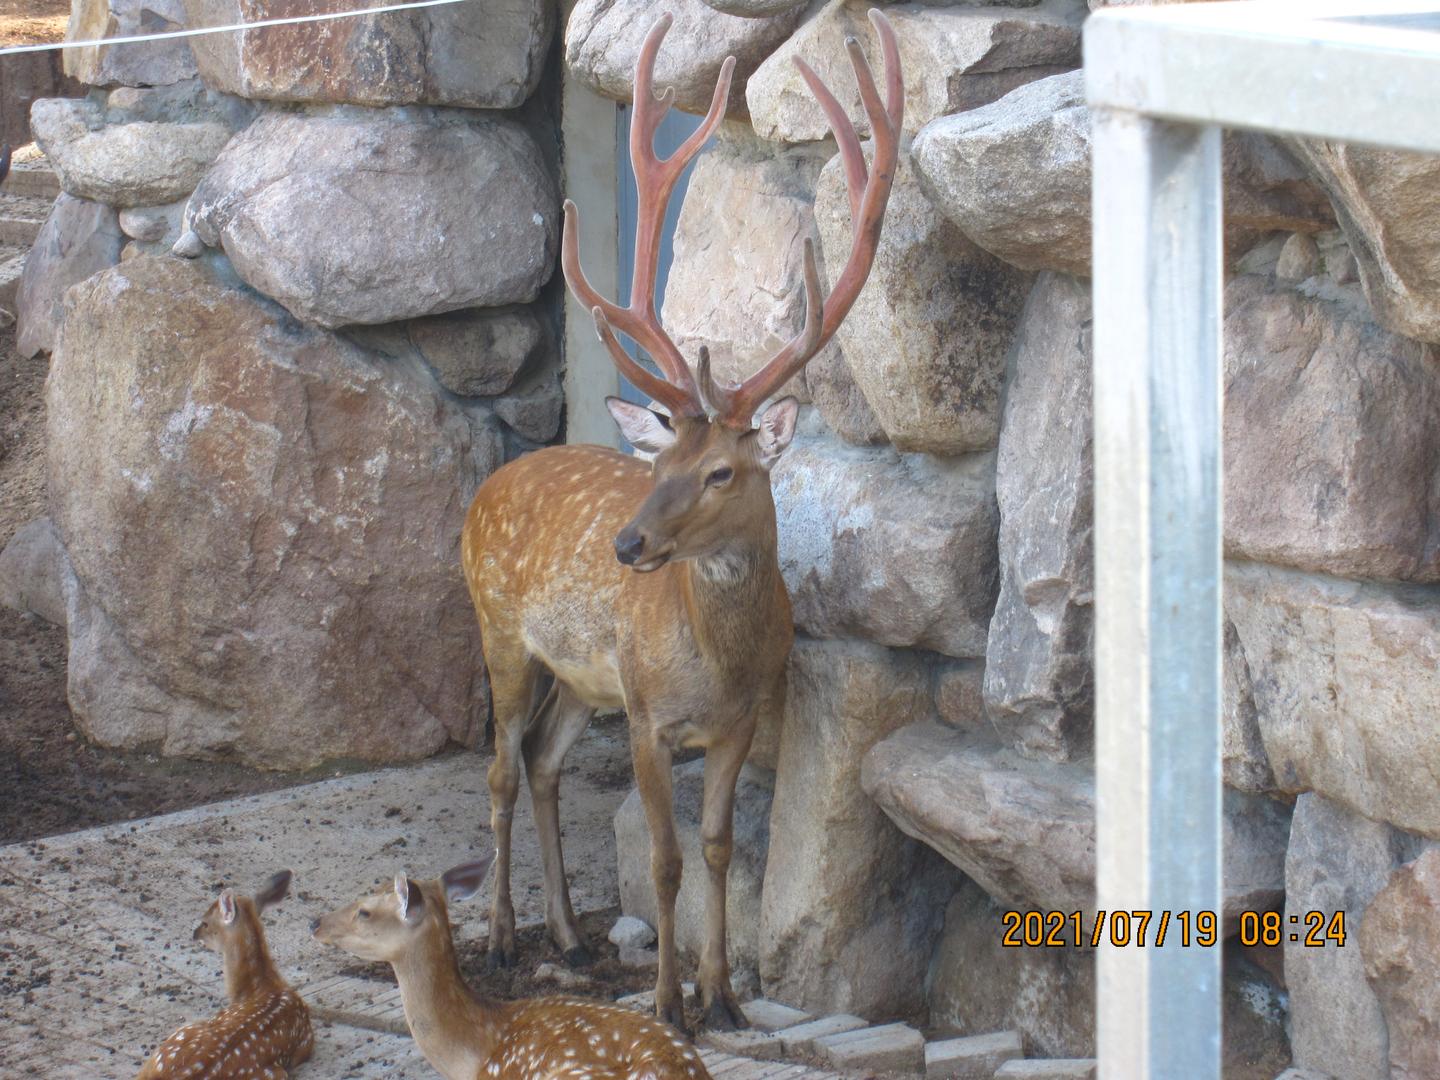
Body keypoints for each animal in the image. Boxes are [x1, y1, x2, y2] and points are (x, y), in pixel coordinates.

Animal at [460, 10, 892, 1042]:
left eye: (721, 471)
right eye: (658, 465)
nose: (626, 545)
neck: (717, 661)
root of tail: (489, 486)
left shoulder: (737, 721)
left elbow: (720, 847)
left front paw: (724, 995)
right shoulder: (652, 717)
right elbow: (662, 859)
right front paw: (667, 1003)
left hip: (586, 677)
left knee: (543, 763)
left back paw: (569, 937)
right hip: (499, 630)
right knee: (499, 772)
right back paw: (500, 936)